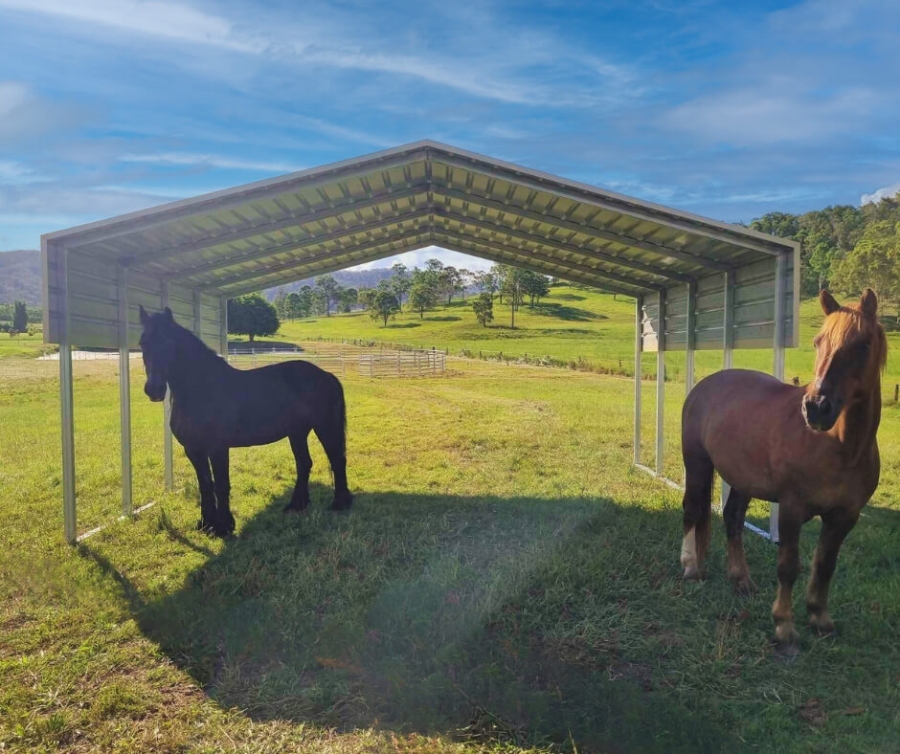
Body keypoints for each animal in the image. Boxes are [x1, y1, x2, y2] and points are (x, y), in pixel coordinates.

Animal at [138, 305, 352, 537]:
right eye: (143, 343)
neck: (202, 389)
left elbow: (221, 484)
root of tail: (326, 375)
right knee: (304, 463)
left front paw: (224, 527)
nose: (154, 389)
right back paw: (296, 504)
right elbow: (206, 485)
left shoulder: (218, 448)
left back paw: (340, 504)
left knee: (337, 460)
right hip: (297, 433)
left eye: (170, 344)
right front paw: (205, 524)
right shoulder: (194, 450)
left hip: (326, 427)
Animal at [680, 289, 886, 648]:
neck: (839, 446)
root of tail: (705, 386)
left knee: (733, 519)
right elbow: (789, 566)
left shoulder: (844, 517)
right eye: (818, 342)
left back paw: (741, 580)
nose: (816, 408)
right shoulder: (791, 508)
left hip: (742, 480)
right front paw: (784, 627)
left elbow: (825, 565)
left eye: (863, 344)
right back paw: (691, 567)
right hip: (698, 465)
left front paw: (820, 618)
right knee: (692, 509)